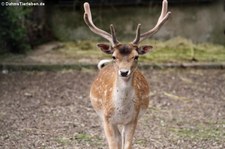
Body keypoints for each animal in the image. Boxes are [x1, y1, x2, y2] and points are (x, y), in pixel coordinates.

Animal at [83, 0, 171, 148]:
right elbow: (113, 145)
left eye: (136, 56)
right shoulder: (107, 119)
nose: (124, 72)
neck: (121, 110)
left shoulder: (133, 119)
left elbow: (127, 144)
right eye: (114, 56)